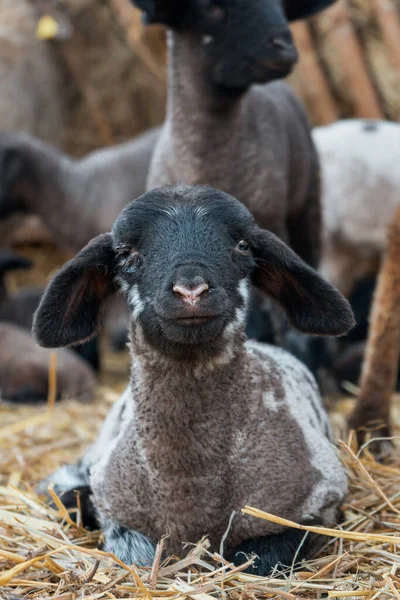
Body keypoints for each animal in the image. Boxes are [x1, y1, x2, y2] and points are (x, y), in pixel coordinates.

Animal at [34, 185, 354, 576]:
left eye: (243, 245)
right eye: (126, 254)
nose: (191, 291)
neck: (191, 489)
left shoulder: (320, 502)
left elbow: (257, 560)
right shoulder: (116, 509)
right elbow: (137, 554)